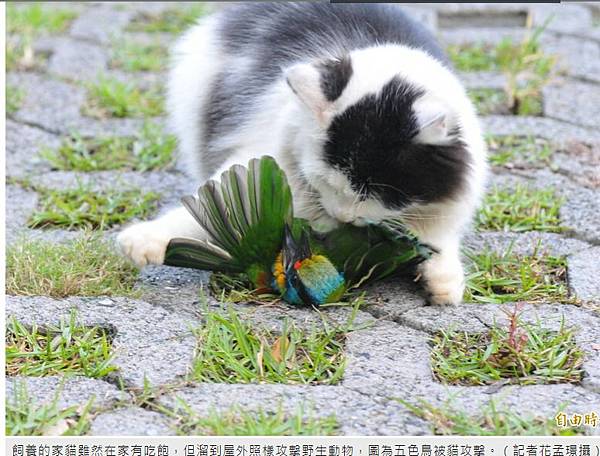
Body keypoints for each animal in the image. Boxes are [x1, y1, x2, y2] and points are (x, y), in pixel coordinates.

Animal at [117, 2, 488, 306]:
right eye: (326, 182)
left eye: (372, 193)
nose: (344, 217)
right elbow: (202, 207)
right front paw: (145, 239)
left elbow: (439, 241)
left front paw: (445, 283)